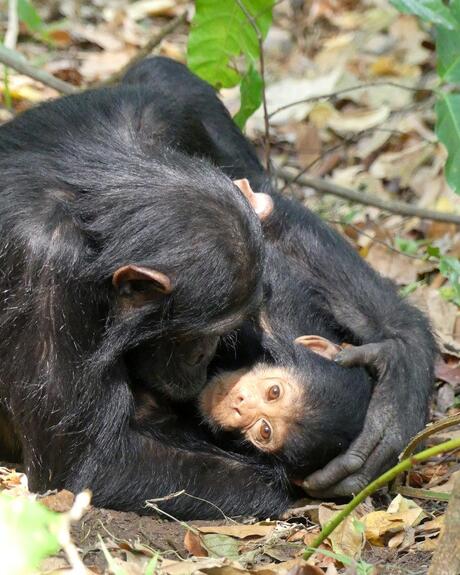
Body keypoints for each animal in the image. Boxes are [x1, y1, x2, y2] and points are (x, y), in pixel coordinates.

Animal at [123, 59, 438, 500]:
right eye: (274, 391)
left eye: (264, 429)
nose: (239, 403)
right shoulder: (278, 310)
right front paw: (396, 382)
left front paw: (393, 400)